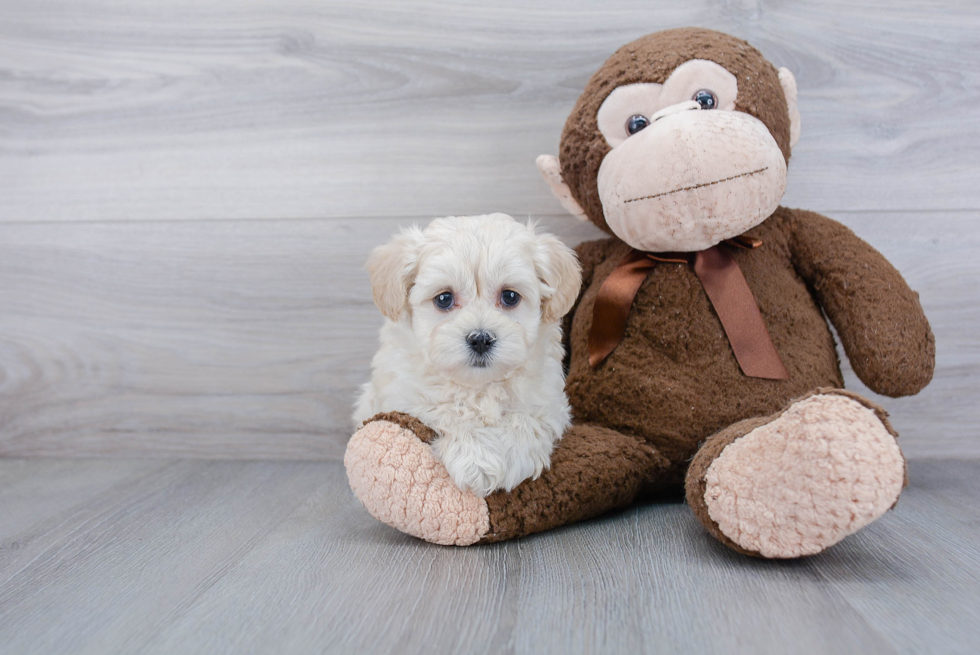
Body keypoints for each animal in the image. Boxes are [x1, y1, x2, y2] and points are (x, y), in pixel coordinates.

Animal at [354, 215, 580, 498]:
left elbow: (527, 417)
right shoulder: (405, 396)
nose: (480, 339)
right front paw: (477, 462)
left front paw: (513, 458)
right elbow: (451, 410)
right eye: (444, 299)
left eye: (510, 296)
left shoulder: (549, 401)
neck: (479, 385)